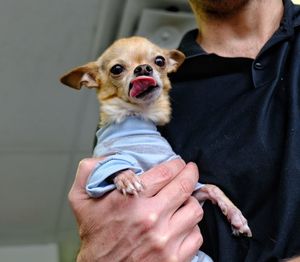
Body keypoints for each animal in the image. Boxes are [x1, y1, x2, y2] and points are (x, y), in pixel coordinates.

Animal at [59, 36, 252, 239]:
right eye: (117, 69)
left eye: (160, 61)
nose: (143, 68)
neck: (140, 116)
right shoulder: (99, 167)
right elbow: (113, 164)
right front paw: (126, 177)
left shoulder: (193, 193)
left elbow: (213, 188)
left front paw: (235, 215)